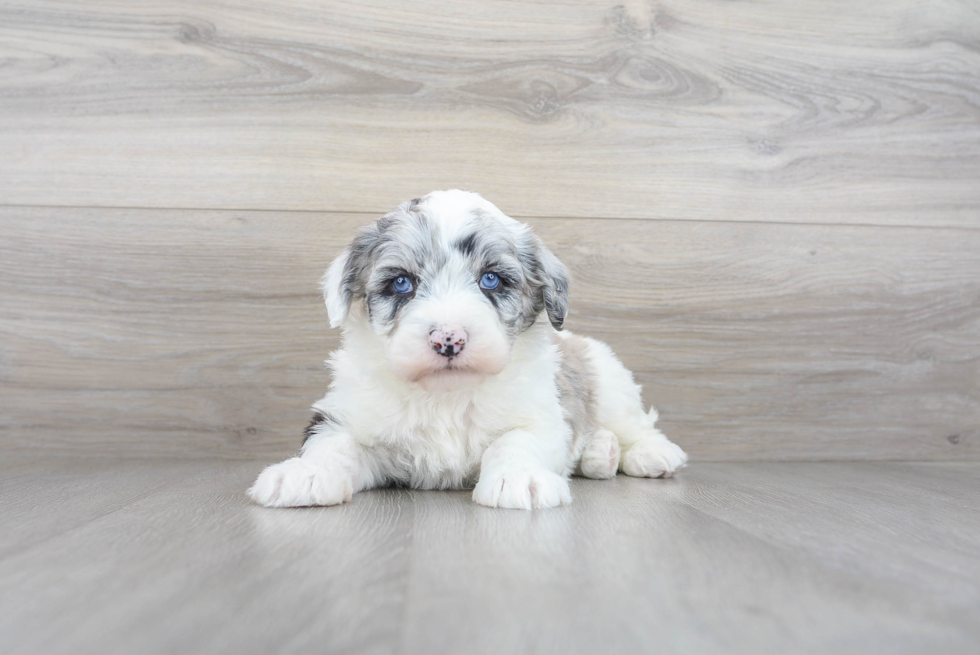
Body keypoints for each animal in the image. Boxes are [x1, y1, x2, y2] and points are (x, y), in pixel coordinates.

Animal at [249, 187, 684, 510]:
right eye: (402, 283)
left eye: (491, 279)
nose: (449, 339)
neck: (447, 396)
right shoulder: (348, 418)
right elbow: (332, 445)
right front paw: (304, 474)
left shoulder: (541, 417)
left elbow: (516, 441)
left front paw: (518, 478)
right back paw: (600, 454)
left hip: (609, 381)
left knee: (636, 424)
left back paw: (648, 454)